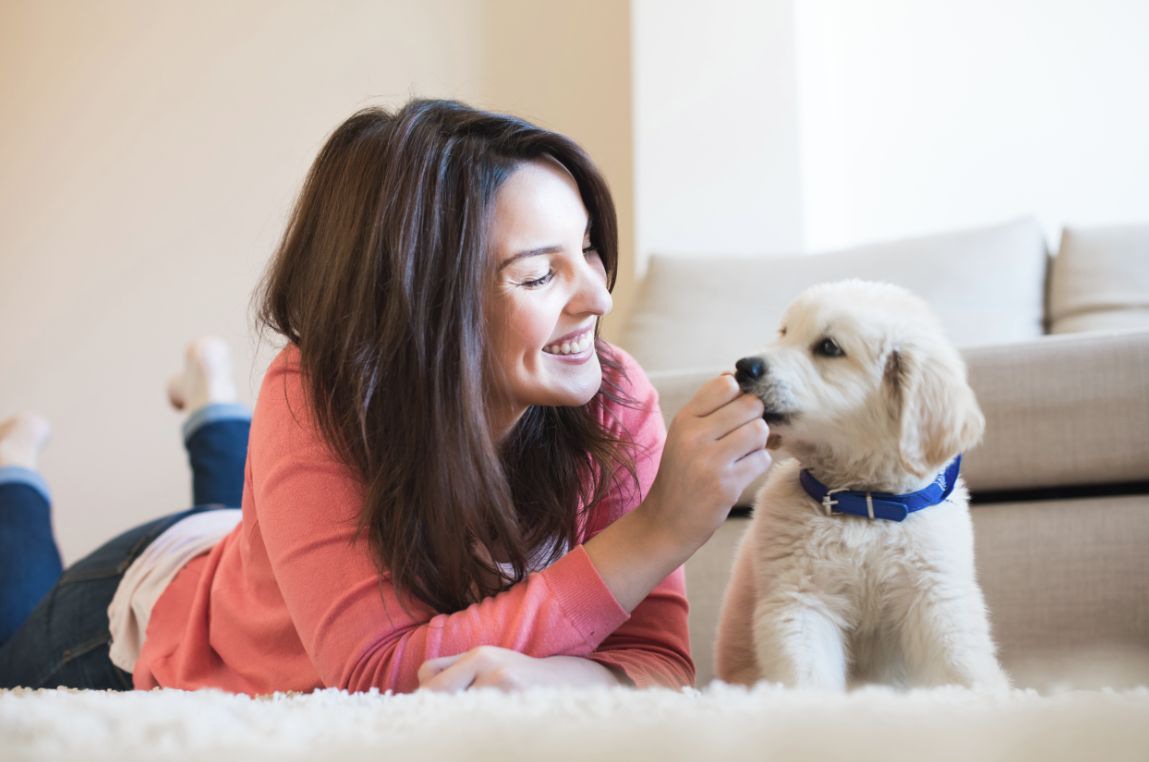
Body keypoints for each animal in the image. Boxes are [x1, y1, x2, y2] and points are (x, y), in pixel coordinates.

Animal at [712, 280, 1011, 689]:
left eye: (828, 347)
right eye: (784, 332)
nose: (744, 366)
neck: (864, 502)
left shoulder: (935, 596)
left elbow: (960, 666)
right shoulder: (801, 600)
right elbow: (807, 678)